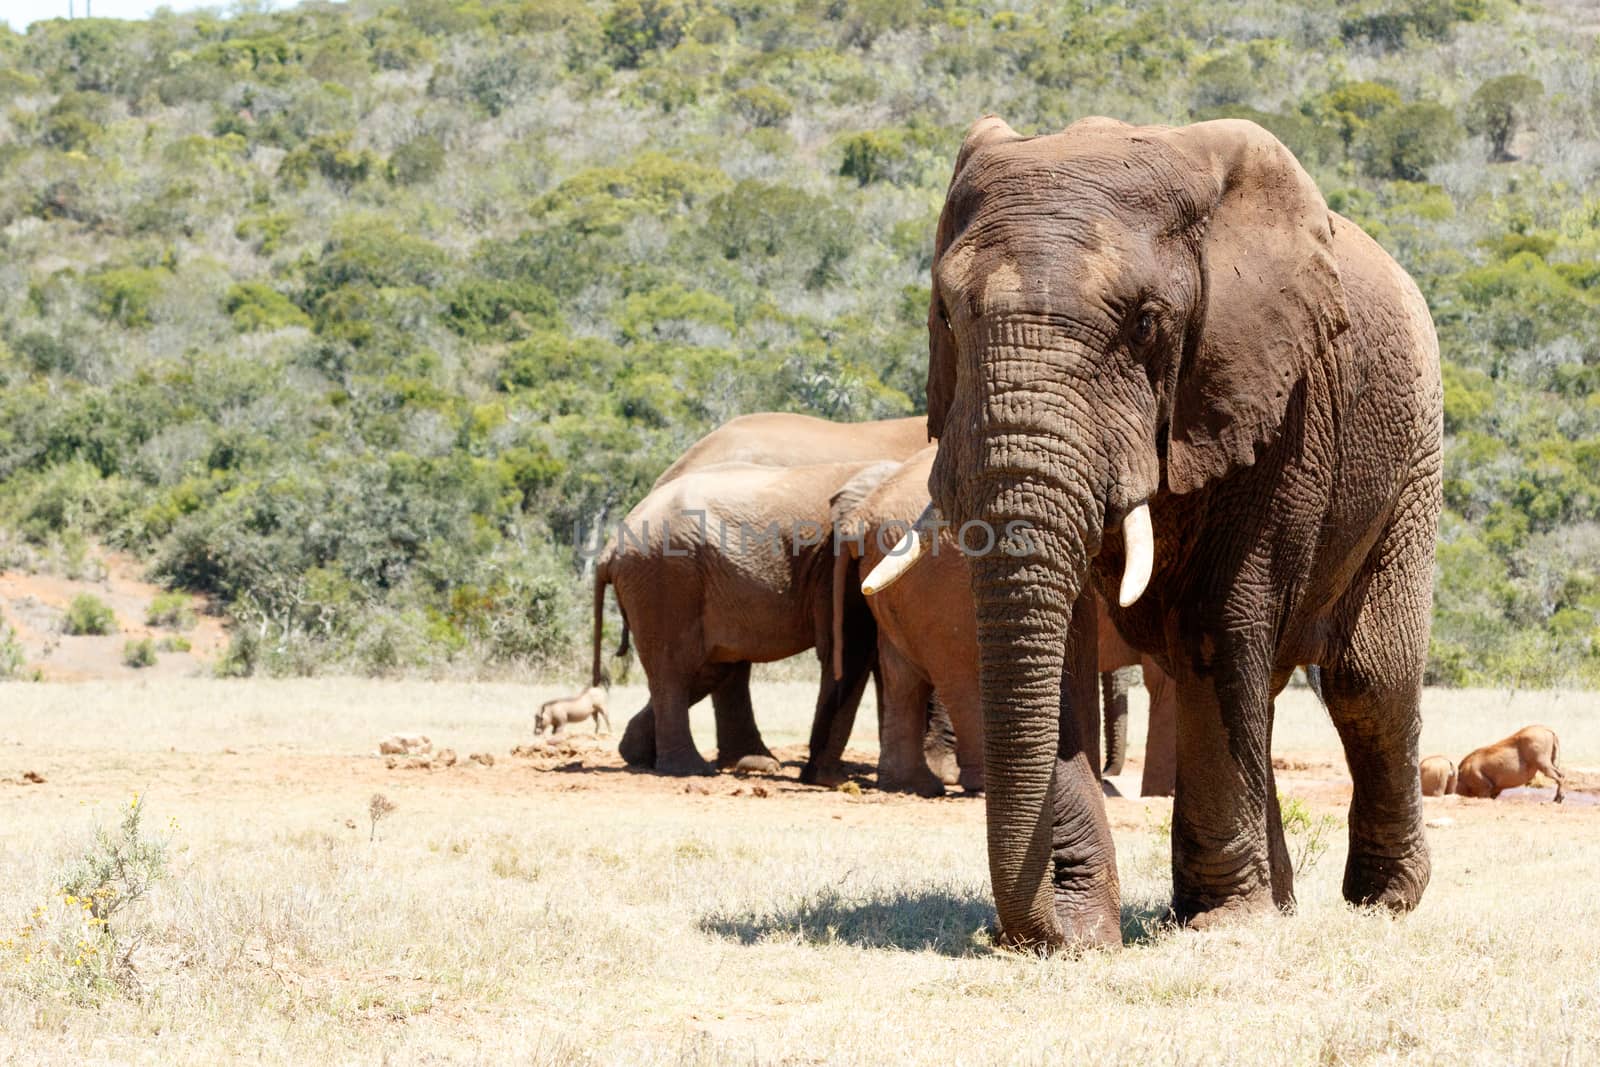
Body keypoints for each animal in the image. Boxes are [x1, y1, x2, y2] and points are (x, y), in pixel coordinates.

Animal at [601, 412, 928, 771]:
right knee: (677, 666)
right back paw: (697, 768)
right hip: (668, 575)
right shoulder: (835, 561)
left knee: (713, 663)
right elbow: (852, 644)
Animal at [876, 115, 1440, 953]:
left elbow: (1217, 621)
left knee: (1367, 677)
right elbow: (1069, 641)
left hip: (1415, 446)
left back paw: (1382, 902)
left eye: (1145, 323)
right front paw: (1085, 930)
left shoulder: (1275, 400)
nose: (1031, 937)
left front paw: (1223, 924)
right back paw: (1281, 903)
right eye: (946, 313)